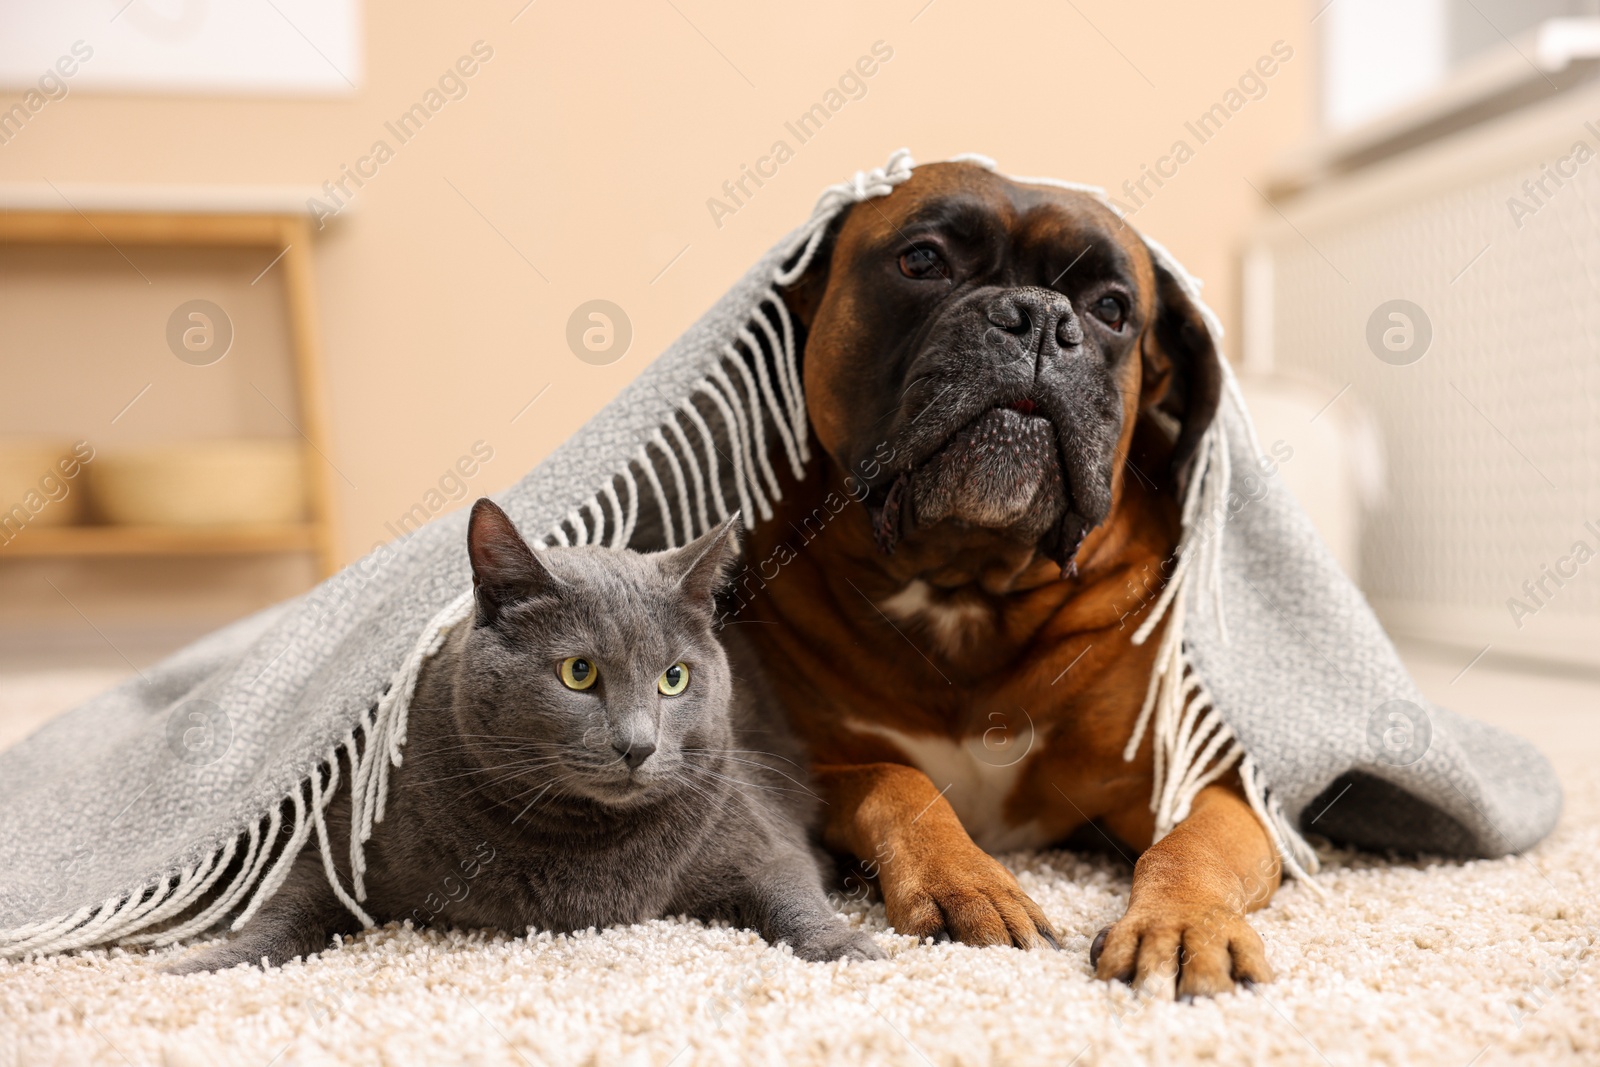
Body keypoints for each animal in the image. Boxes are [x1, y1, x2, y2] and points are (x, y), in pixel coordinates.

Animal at [168, 502, 883, 979]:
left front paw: (845, 944)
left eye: (674, 678)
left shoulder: (762, 831)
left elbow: (792, 887)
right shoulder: (341, 845)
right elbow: (283, 908)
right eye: (578, 673)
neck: (582, 838)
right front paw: (207, 964)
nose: (637, 745)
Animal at [732, 160, 1273, 1004]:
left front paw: (1184, 923)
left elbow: (1191, 847)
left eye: (1112, 308)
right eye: (922, 260)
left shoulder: (1204, 785)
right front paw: (966, 880)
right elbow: (895, 779)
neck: (966, 584)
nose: (1041, 317)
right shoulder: (795, 763)